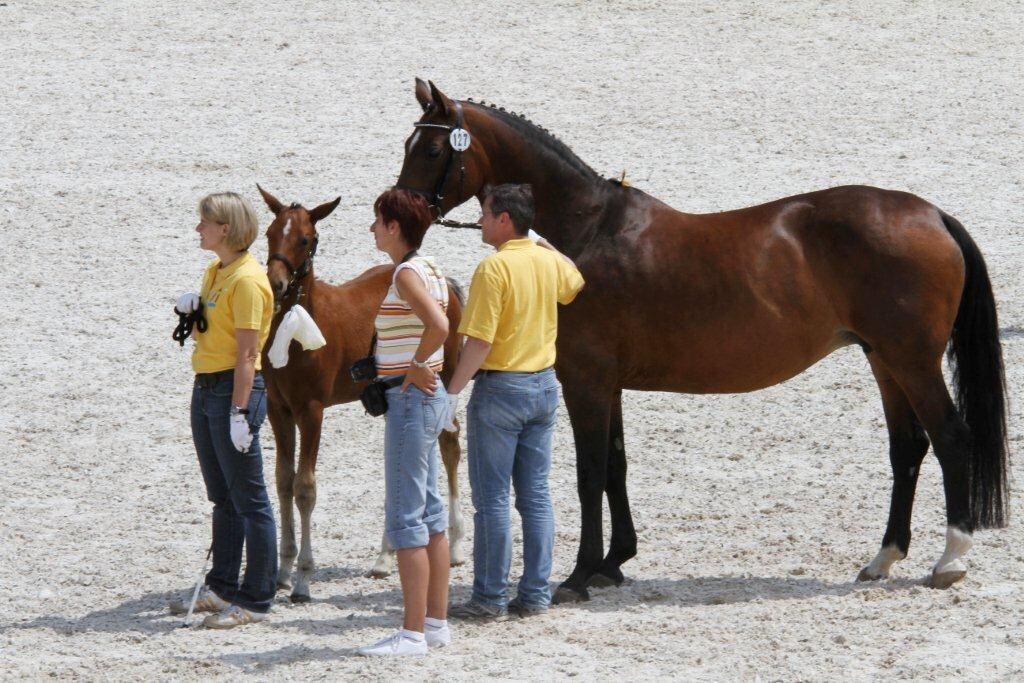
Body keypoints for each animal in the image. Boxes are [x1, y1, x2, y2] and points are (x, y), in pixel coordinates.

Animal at [258, 184, 466, 602]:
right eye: (271, 233)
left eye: (307, 239)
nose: (276, 284)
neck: (299, 327)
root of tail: (447, 282)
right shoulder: (278, 408)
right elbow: (283, 481)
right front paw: (283, 570)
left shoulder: (311, 410)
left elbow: (305, 488)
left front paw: (303, 578)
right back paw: (385, 557)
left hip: (445, 378)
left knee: (450, 446)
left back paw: (453, 546)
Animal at [391, 81, 1007, 602]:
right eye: (409, 144)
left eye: (432, 150)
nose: (399, 217)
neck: (589, 231)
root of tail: (933, 214)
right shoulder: (608, 384)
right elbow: (616, 465)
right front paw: (614, 563)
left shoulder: (585, 380)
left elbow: (590, 474)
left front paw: (579, 575)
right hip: (884, 360)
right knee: (908, 447)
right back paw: (883, 559)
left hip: (913, 361)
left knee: (951, 438)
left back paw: (950, 561)